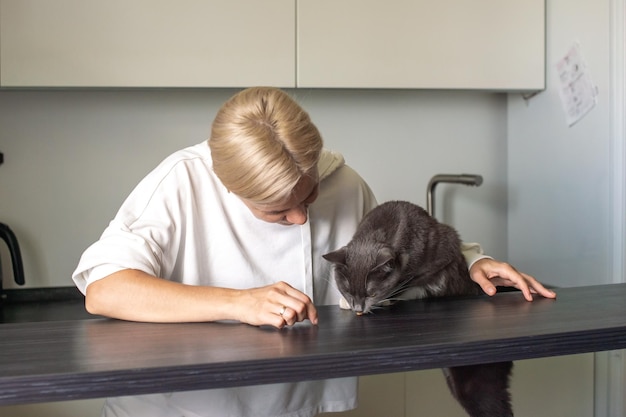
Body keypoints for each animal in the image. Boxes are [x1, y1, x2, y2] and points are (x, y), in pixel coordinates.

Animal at [322, 201, 512, 416]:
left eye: (370, 293)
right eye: (347, 290)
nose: (357, 307)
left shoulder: (442, 251)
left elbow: (409, 281)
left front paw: (386, 298)